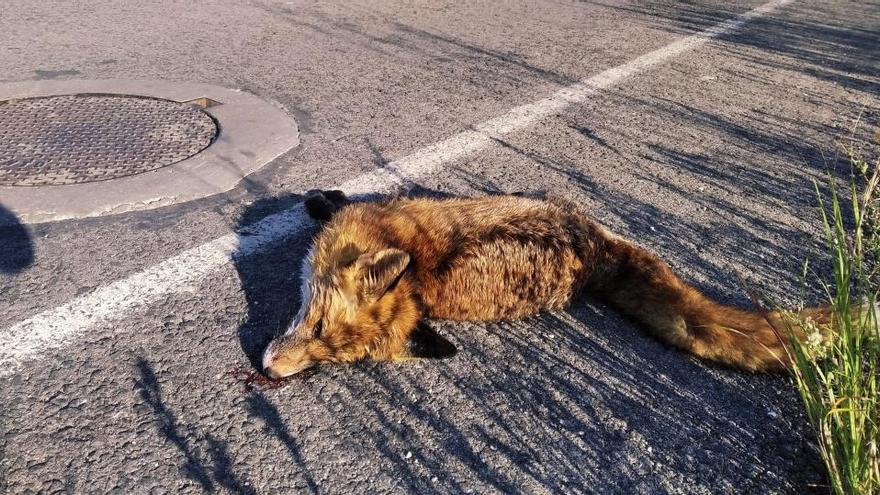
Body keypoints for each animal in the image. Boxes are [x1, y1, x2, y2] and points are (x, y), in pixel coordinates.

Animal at [261, 189, 834, 379]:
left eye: (331, 357)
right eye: (316, 326)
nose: (268, 370)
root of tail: (597, 248)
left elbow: (330, 204)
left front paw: (319, 199)